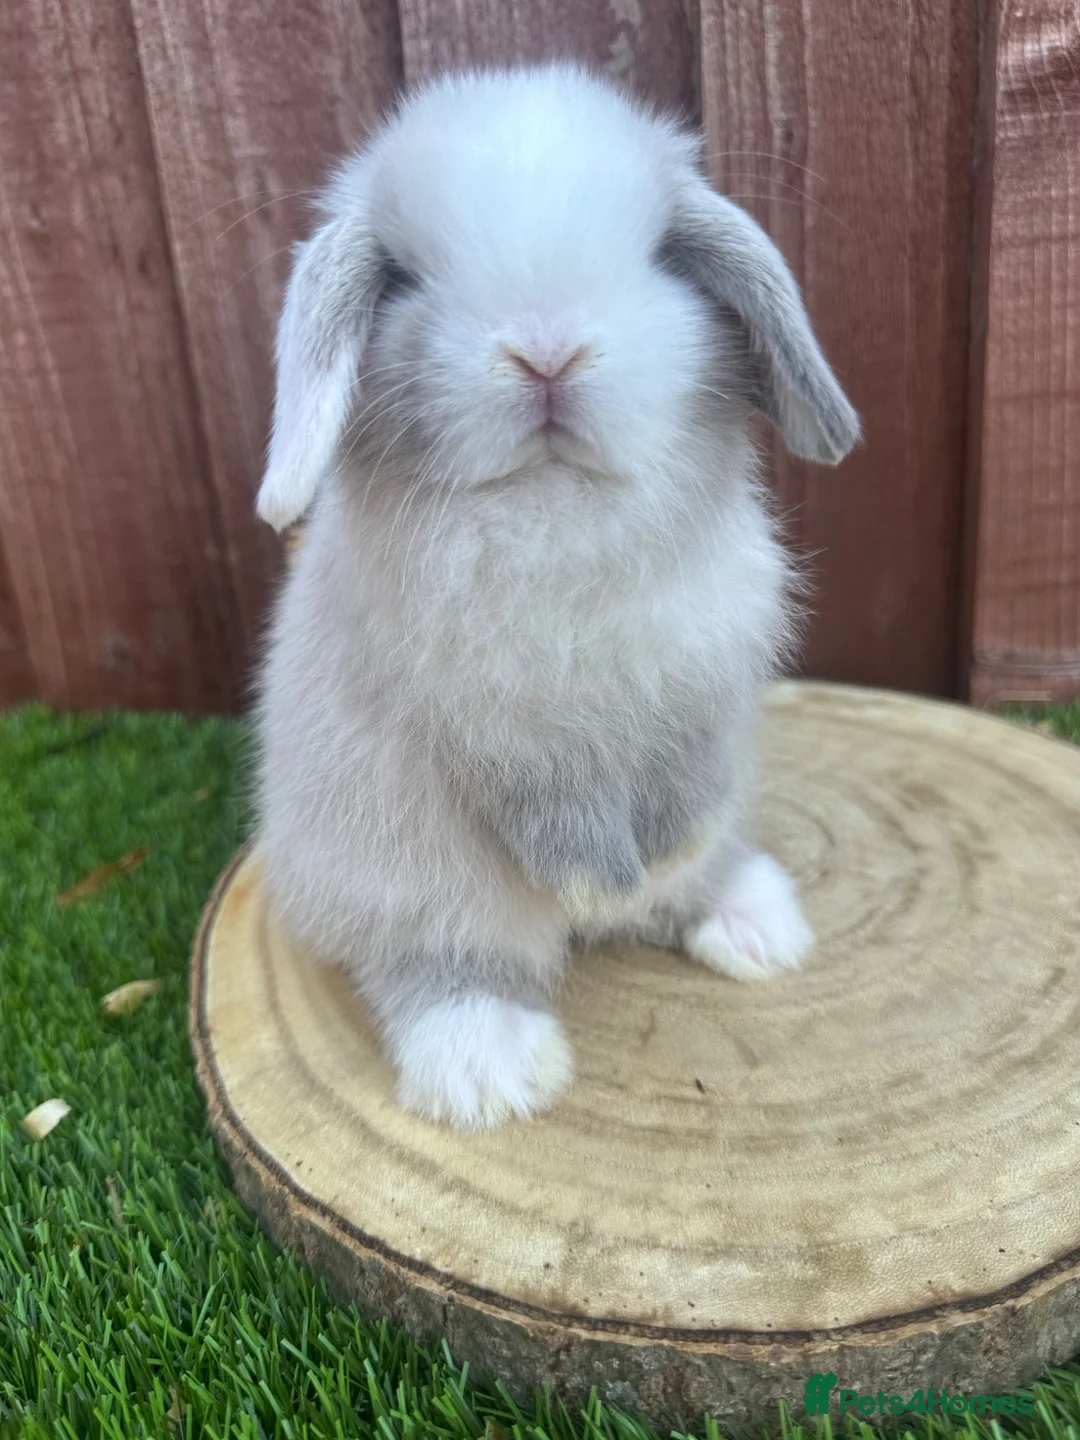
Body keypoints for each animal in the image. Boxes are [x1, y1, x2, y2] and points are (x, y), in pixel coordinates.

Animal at [253, 63, 859, 1131]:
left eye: (660, 256)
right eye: (403, 279)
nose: (546, 352)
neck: (556, 505)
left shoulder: (703, 684)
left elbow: (685, 787)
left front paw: (650, 862)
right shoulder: (492, 732)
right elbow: (549, 811)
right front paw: (592, 880)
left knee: (693, 883)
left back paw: (748, 922)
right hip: (407, 883)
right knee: (438, 965)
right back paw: (490, 1067)